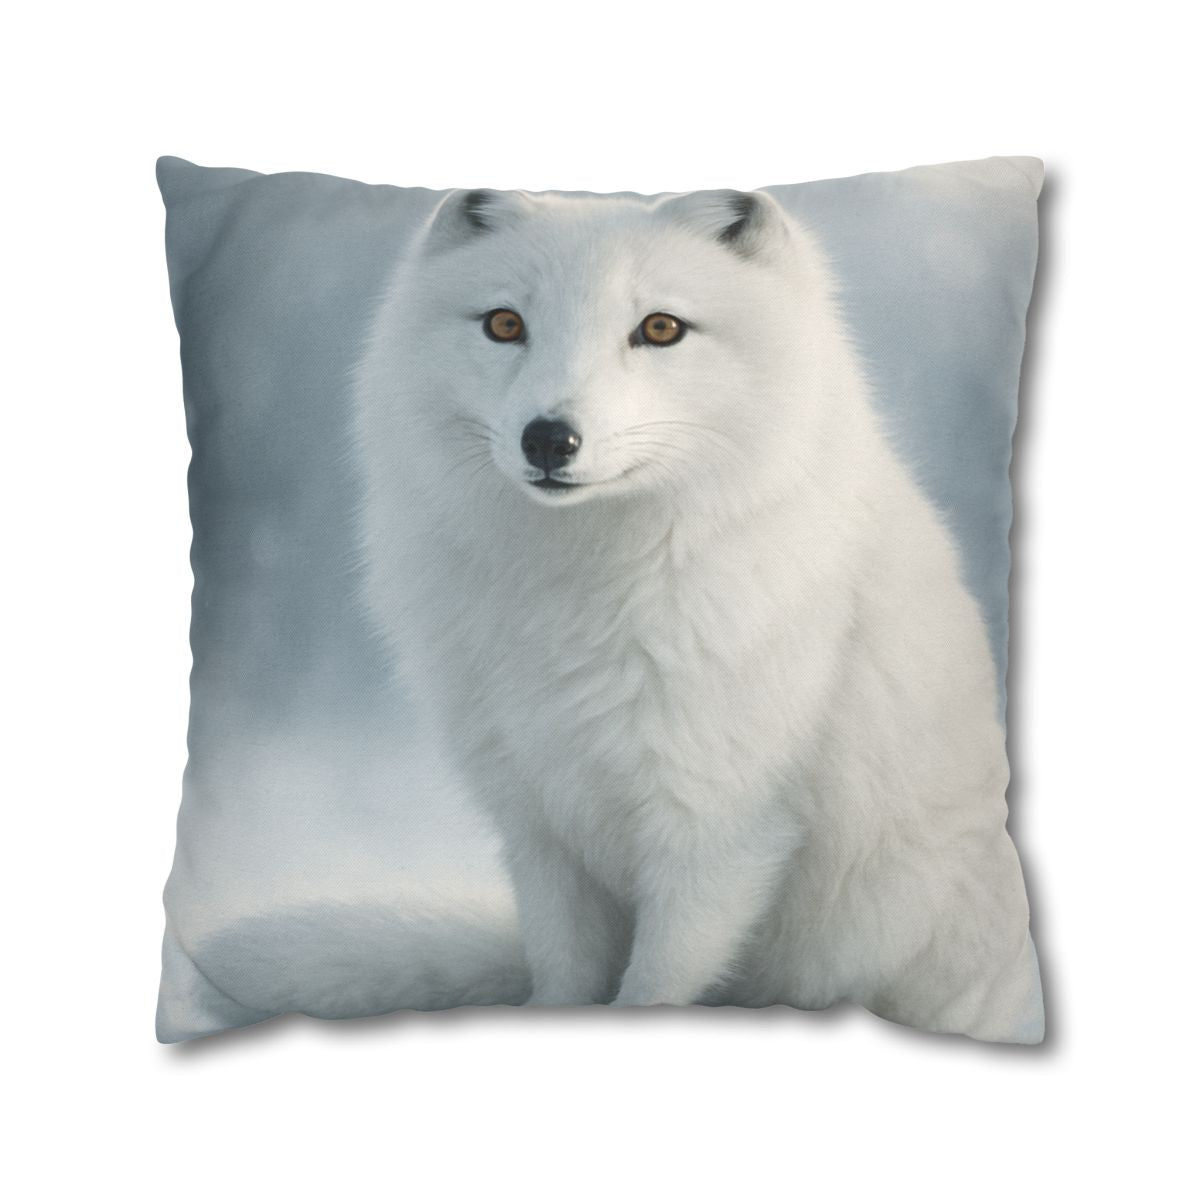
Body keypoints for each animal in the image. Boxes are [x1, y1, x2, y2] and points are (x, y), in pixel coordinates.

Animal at [352, 186, 1044, 1043]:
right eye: (505, 324)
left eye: (660, 329)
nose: (549, 439)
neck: (578, 590)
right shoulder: (539, 821)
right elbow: (564, 973)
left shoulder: (718, 827)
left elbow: (656, 982)